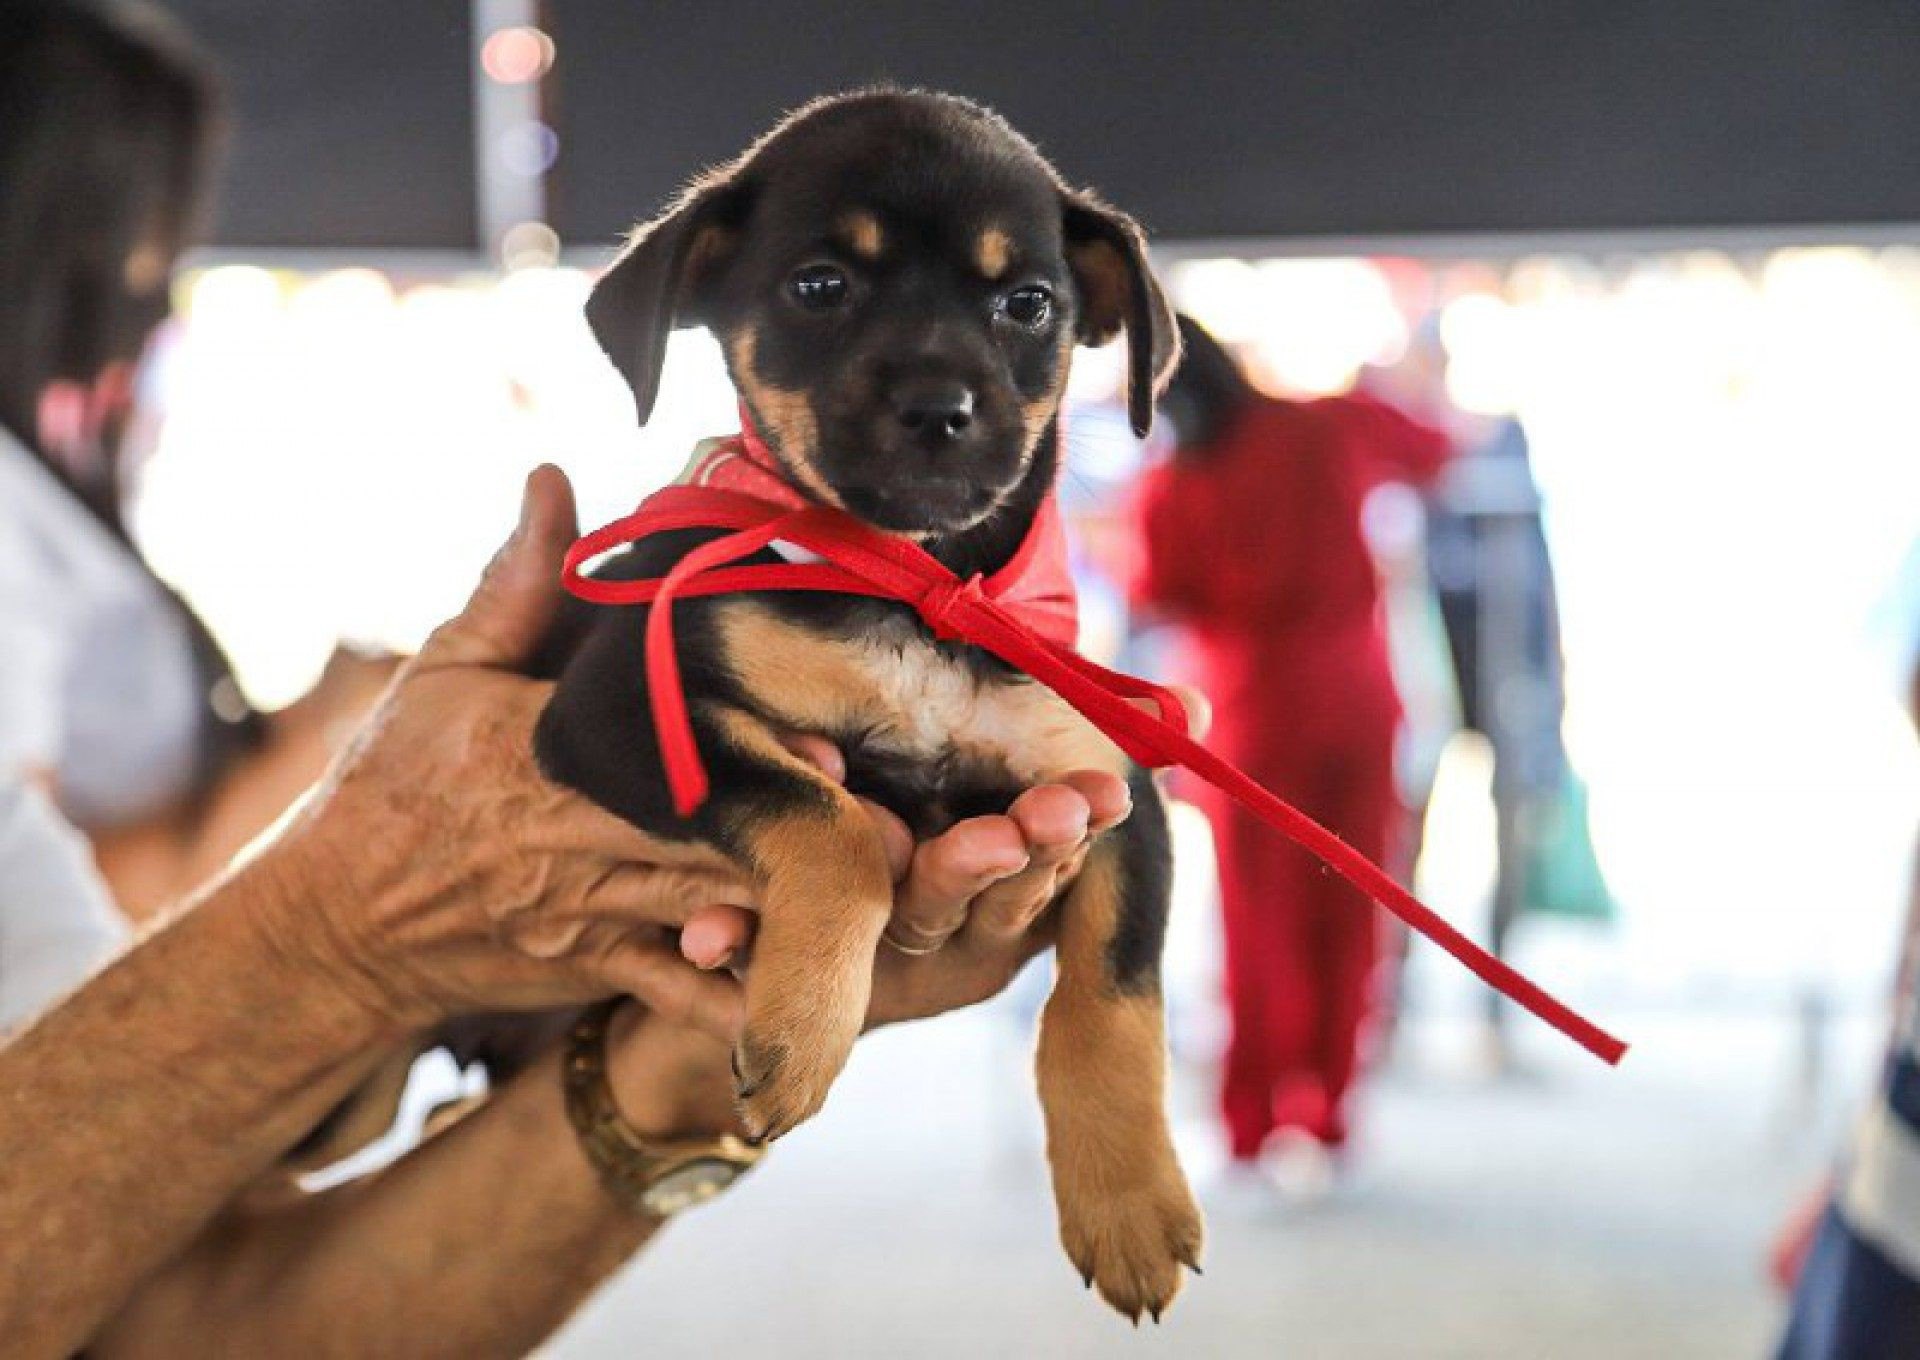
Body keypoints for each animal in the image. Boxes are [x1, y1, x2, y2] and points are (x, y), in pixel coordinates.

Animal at [537, 87, 1198, 1313]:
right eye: (819, 287)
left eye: (1028, 304)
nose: (940, 408)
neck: (916, 580)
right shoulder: (615, 711)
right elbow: (832, 822)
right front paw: (801, 1032)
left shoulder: (1115, 786)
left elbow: (1113, 992)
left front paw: (1129, 1203)